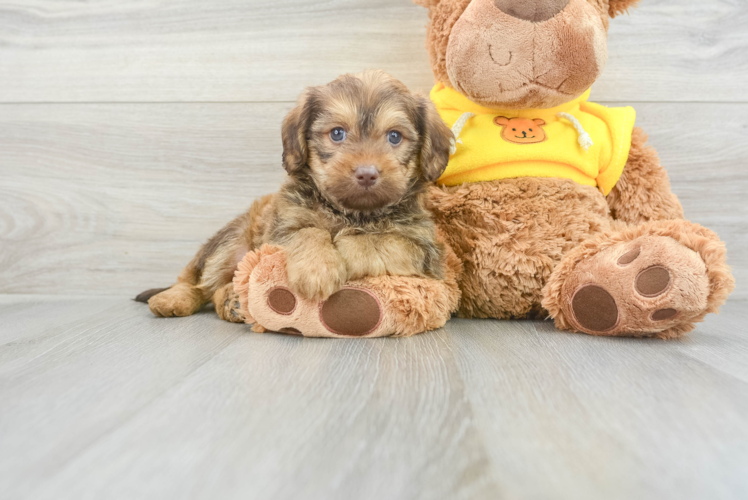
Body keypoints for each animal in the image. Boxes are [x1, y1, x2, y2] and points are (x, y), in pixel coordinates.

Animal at [137, 68, 452, 322]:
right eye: (337, 134)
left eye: (394, 137)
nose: (366, 173)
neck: (351, 213)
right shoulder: (281, 228)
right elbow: (308, 231)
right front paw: (317, 268)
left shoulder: (425, 250)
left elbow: (382, 240)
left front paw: (347, 247)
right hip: (231, 240)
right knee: (196, 282)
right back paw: (174, 298)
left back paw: (232, 301)